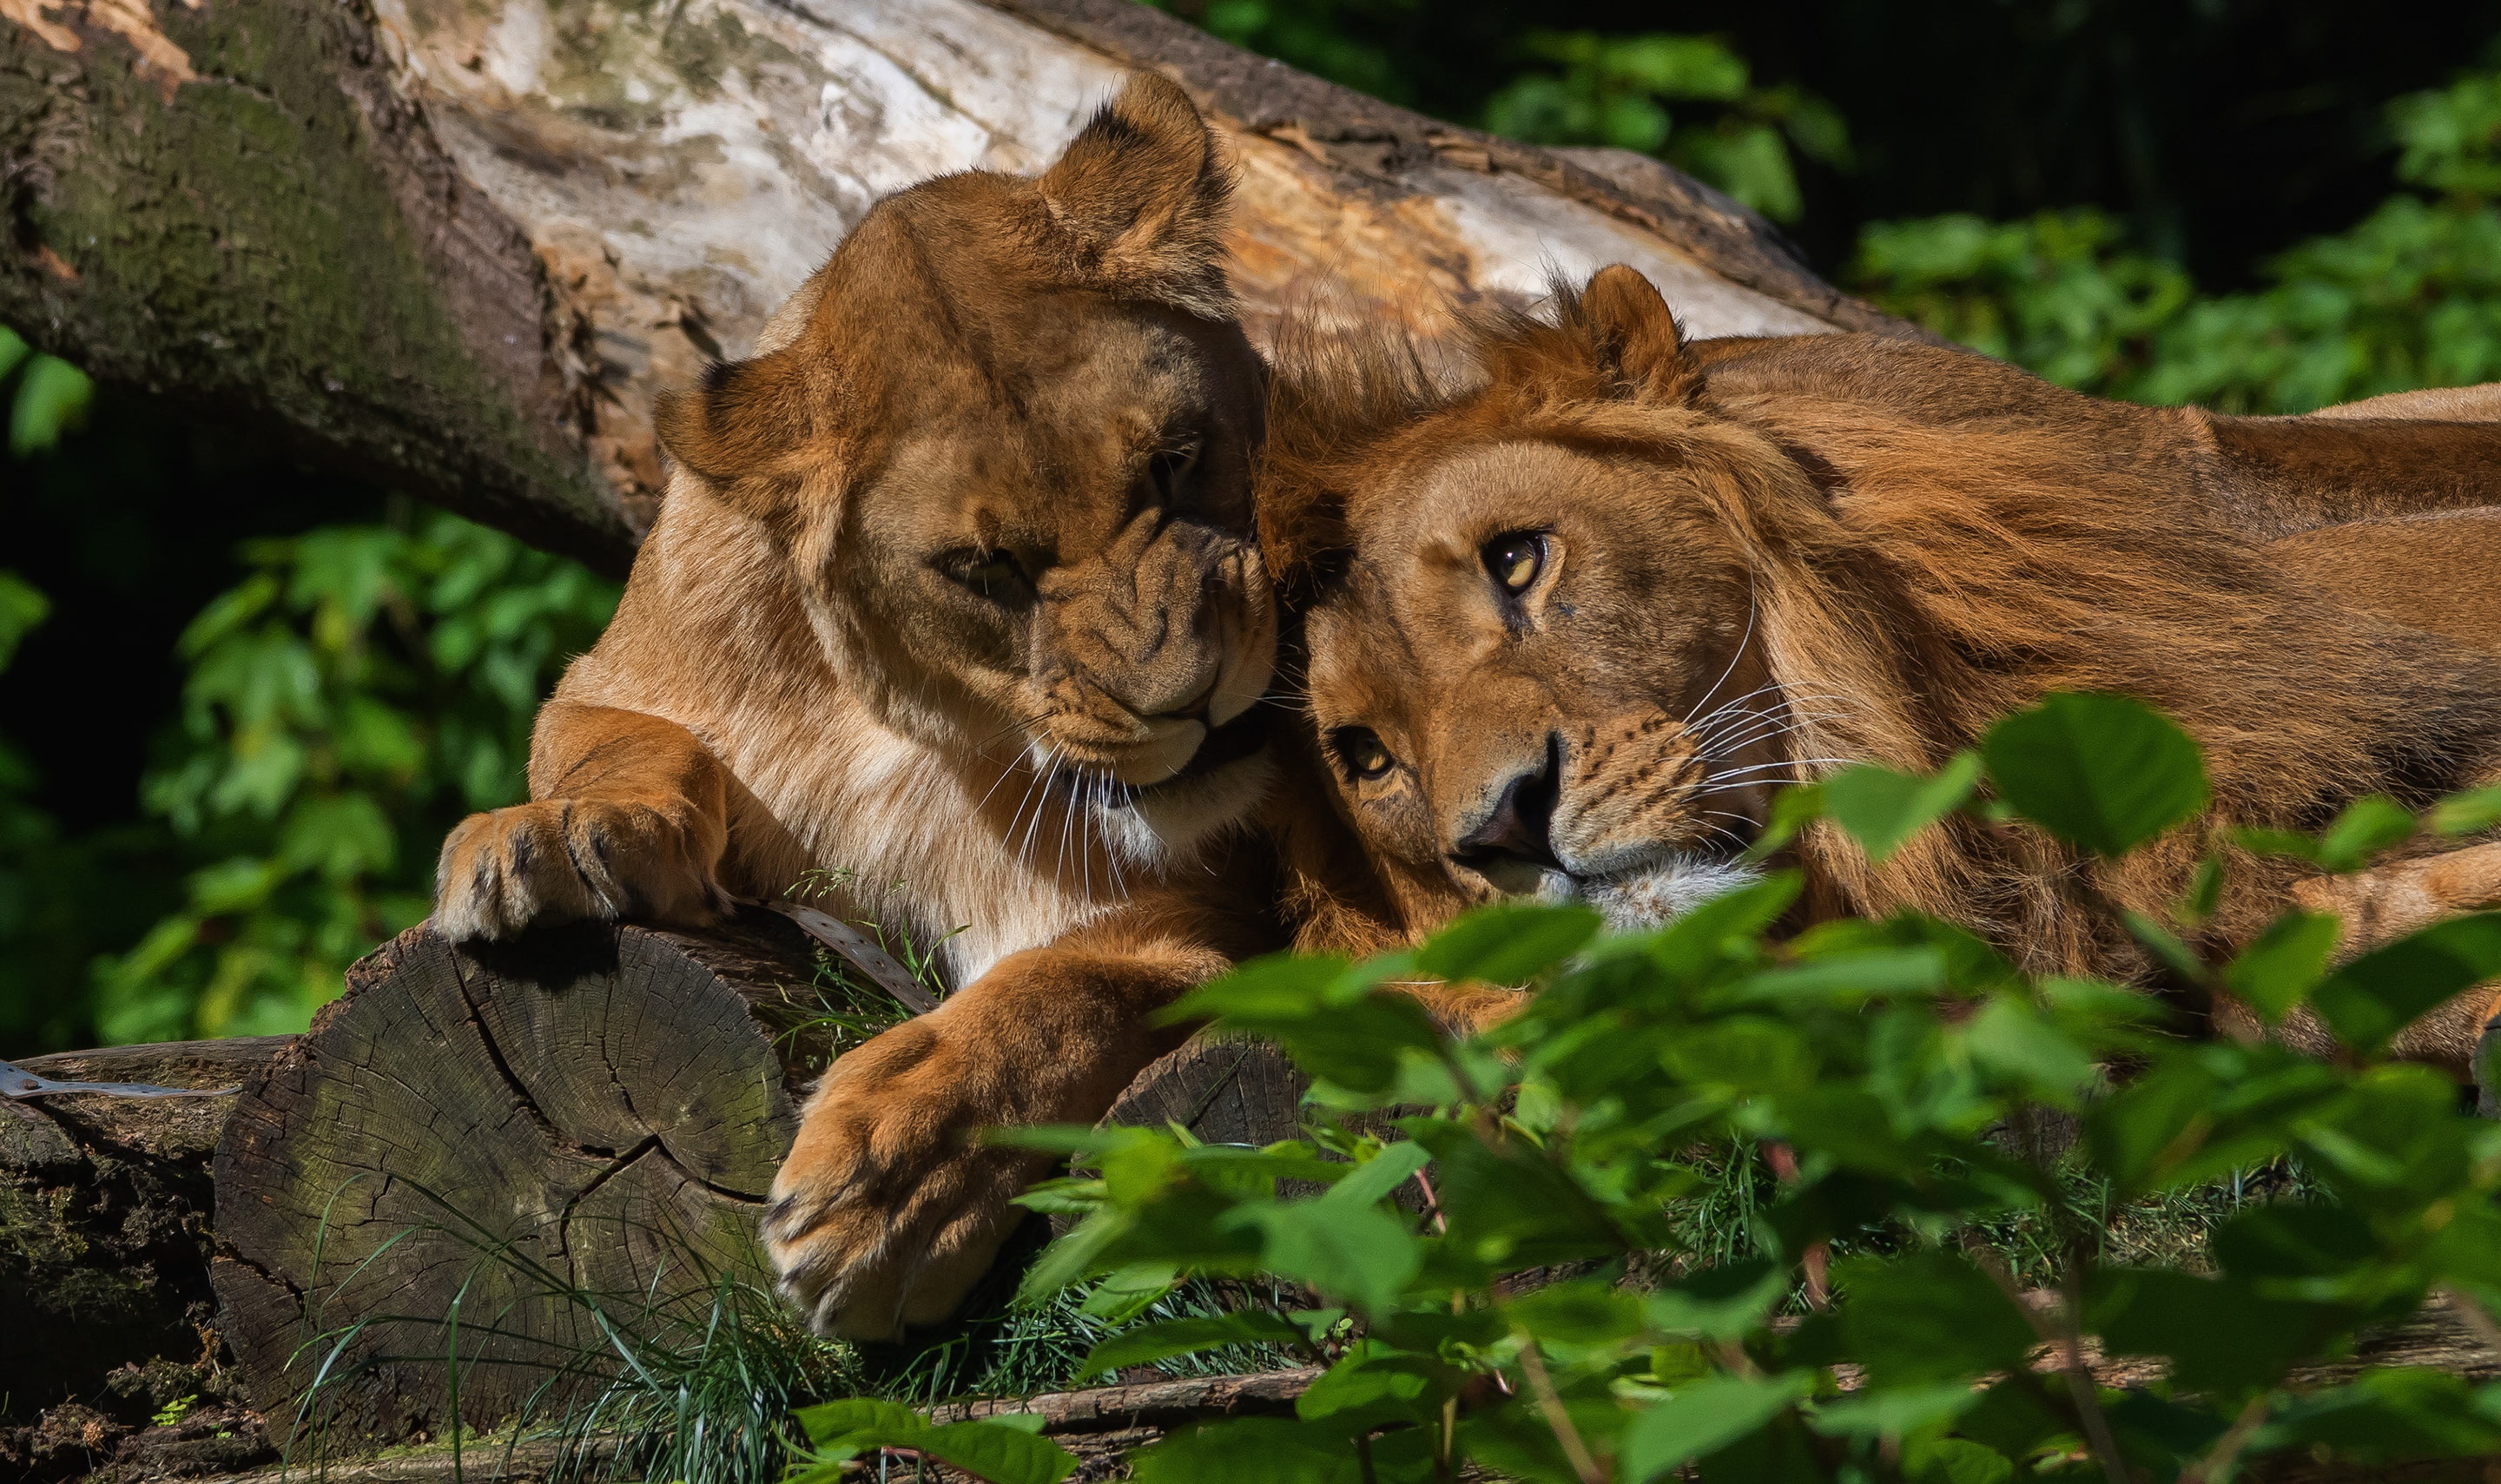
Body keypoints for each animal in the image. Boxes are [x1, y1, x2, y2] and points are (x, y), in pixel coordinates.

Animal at [431, 75, 1293, 1340]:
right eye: (984, 568)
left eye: (1177, 462)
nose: (1198, 700)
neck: (917, 724)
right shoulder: (606, 679)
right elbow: (627, 744)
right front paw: (546, 839)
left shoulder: (1224, 922)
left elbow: (1058, 995)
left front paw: (891, 1188)